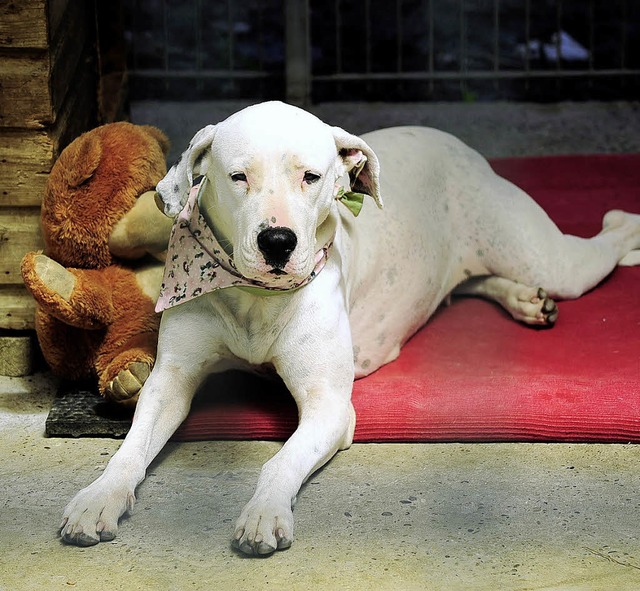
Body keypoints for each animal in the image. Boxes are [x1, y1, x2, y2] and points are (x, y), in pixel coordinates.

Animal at [61, 100, 640, 556]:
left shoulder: (330, 407)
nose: (278, 241)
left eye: (311, 177)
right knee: (472, 282)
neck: (255, 296)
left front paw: (264, 512)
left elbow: (281, 461)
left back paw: (622, 230)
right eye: (238, 177)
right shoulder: (171, 382)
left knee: (601, 239)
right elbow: (131, 448)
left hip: (548, 258)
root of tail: (451, 140)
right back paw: (523, 299)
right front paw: (98, 497)